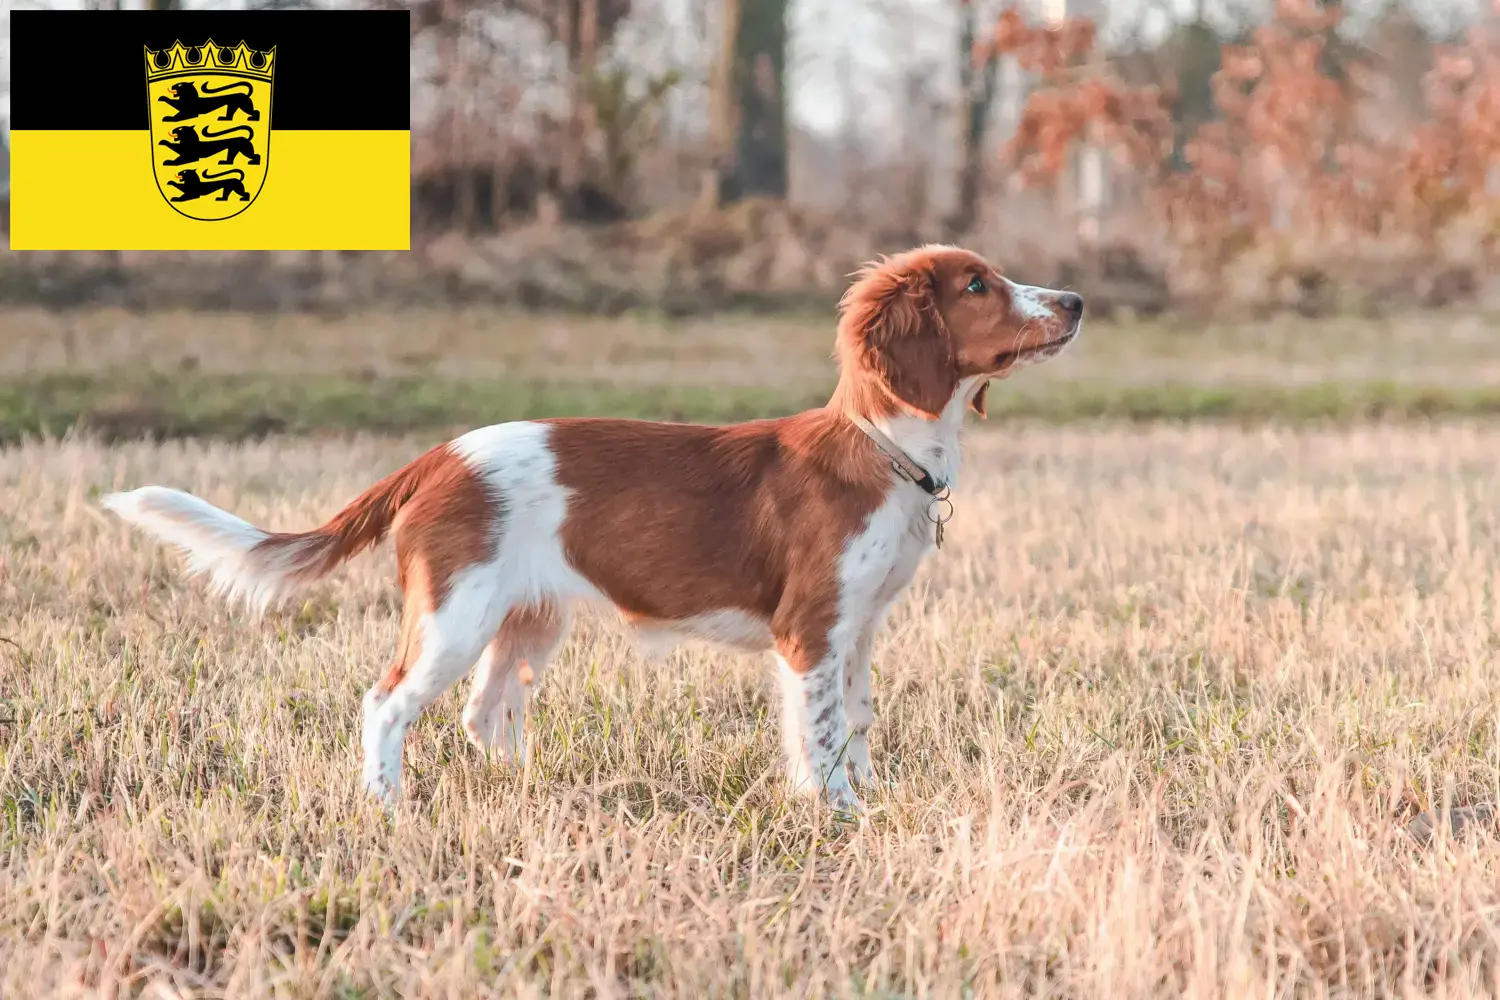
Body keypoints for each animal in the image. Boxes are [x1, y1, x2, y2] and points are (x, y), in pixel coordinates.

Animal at [99, 244, 1086, 815]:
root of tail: (436, 457)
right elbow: (819, 737)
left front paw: (871, 805)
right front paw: (834, 814)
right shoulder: (810, 631)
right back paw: (387, 810)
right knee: (387, 704)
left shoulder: (860, 631)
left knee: (483, 715)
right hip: (454, 616)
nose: (1076, 300)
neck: (883, 447)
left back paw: (532, 792)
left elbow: (860, 726)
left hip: (530, 620)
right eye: (977, 285)